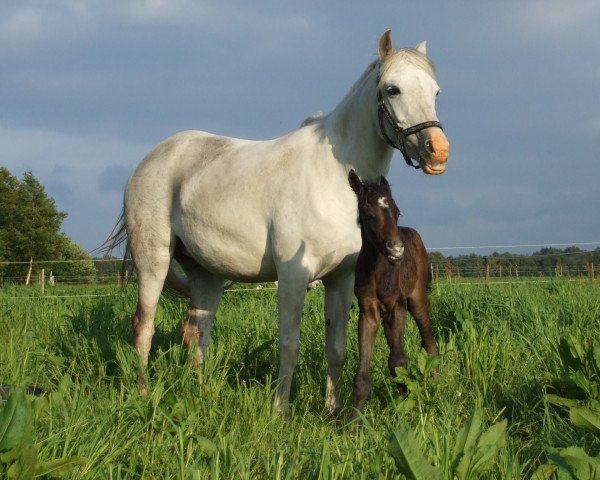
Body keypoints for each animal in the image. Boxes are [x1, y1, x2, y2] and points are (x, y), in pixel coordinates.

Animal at [346, 171, 436, 418]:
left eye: (397, 212)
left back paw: (436, 387)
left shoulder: (398, 306)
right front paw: (353, 421)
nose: (396, 249)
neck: (379, 271)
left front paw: (404, 409)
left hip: (417, 299)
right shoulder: (368, 311)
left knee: (429, 342)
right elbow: (363, 373)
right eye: (368, 214)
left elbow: (398, 361)